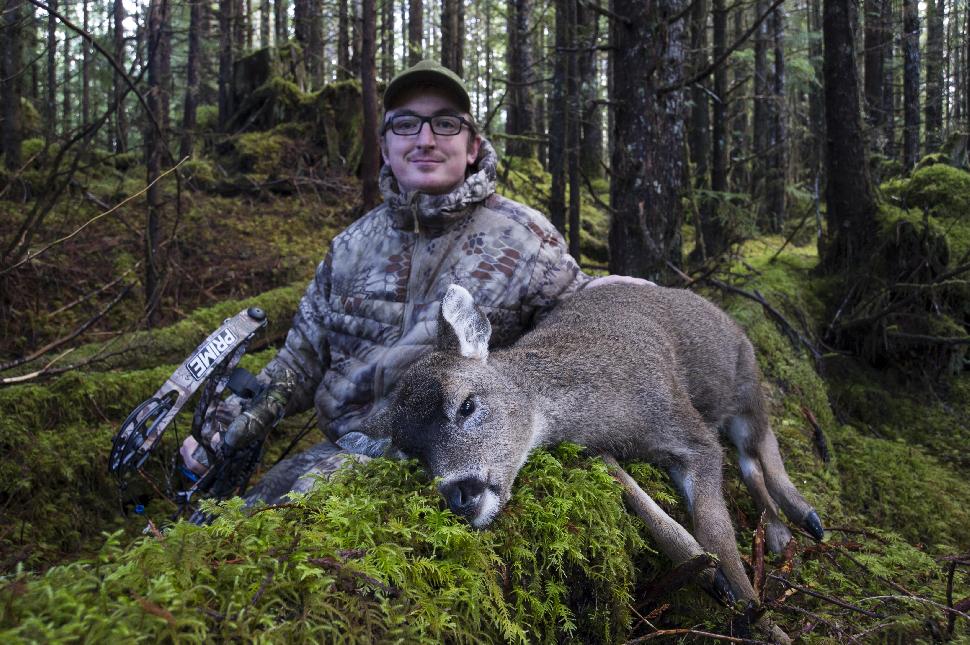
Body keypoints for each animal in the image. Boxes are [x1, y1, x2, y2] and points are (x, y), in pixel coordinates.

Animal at [364, 284, 824, 640]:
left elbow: (717, 530)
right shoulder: (598, 451)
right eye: (411, 454)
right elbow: (649, 509)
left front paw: (757, 614)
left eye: (466, 404)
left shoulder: (690, 430)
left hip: (746, 381)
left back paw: (801, 518)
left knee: (760, 444)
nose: (459, 495)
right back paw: (783, 533)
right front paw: (709, 575)